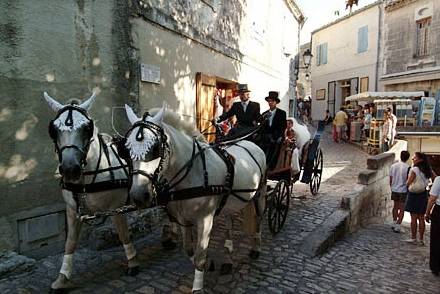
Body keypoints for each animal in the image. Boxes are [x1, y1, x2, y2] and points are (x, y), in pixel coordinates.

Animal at [42, 92, 140, 292]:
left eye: (87, 128)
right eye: (53, 129)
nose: (70, 169)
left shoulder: (116, 208)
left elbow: (123, 234)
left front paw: (133, 262)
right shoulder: (73, 210)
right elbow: (70, 243)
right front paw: (62, 278)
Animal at [124, 104, 268, 292]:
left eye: (155, 148)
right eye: (127, 149)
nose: (139, 196)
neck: (194, 173)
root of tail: (251, 143)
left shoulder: (205, 220)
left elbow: (200, 254)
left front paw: (198, 287)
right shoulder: (184, 219)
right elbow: (189, 250)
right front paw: (208, 265)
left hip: (259, 194)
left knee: (258, 218)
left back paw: (256, 248)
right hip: (229, 201)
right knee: (229, 223)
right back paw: (228, 255)